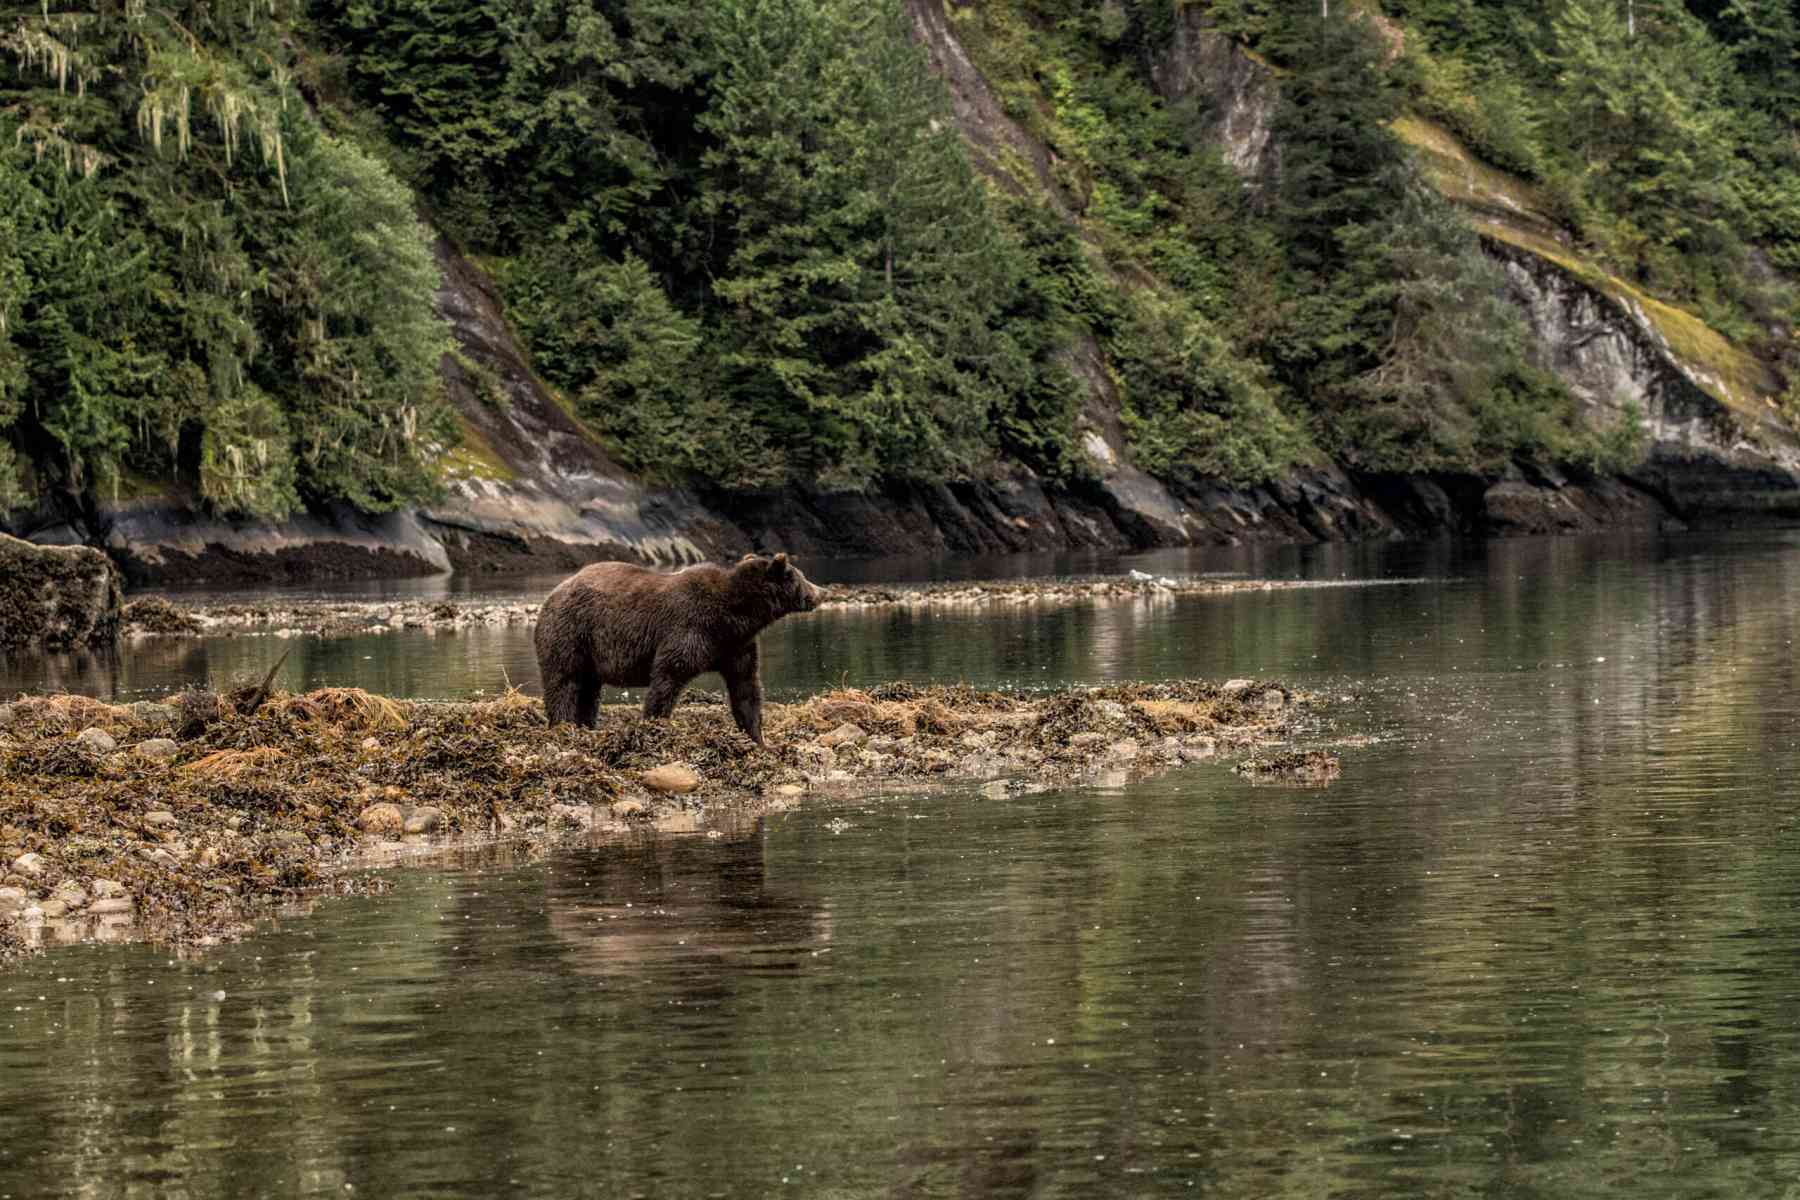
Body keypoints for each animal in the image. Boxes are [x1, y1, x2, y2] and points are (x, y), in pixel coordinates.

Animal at [532, 553, 824, 745]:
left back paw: (586, 726)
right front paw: (654, 725)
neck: (735, 615)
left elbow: (746, 687)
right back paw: (562, 725)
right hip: (571, 631)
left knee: (589, 690)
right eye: (801, 576)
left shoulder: (735, 646)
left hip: (590, 650)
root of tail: (552, 594)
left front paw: (758, 739)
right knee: (564, 680)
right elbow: (668, 677)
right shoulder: (690, 628)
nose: (822, 592)